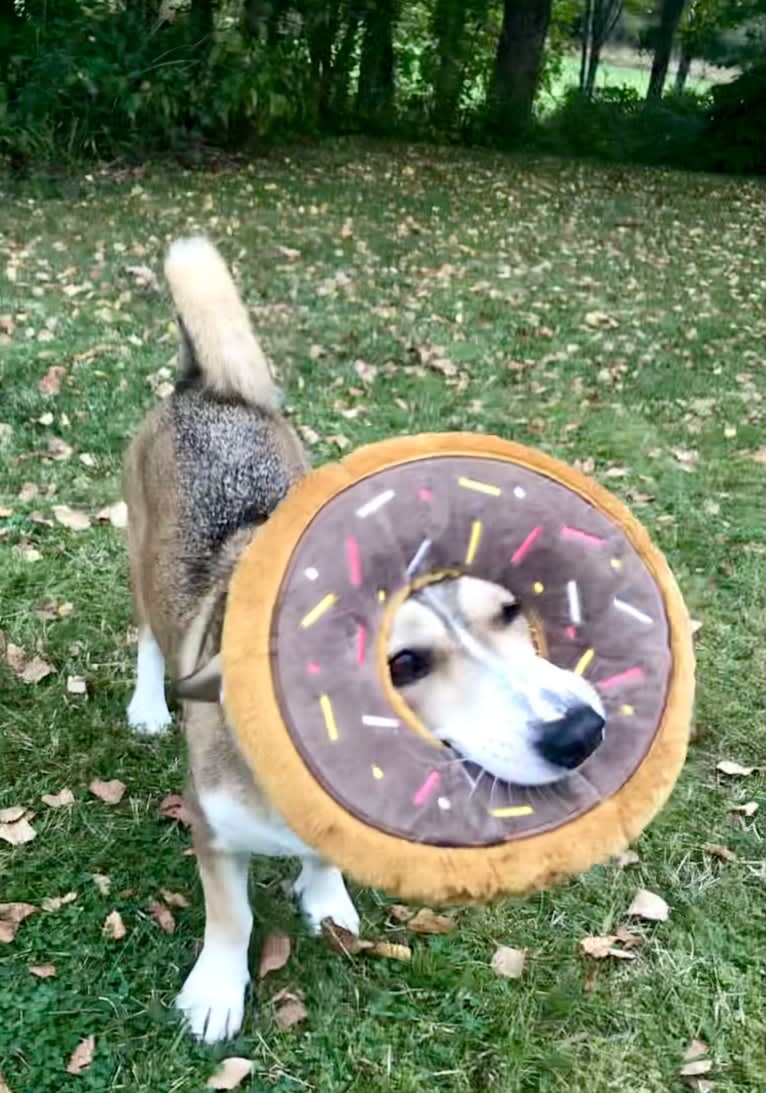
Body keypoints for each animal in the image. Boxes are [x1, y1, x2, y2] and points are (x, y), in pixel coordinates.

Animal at [125, 237, 603, 1040]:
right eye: (403, 661)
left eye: (511, 609)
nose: (582, 731)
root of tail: (208, 386)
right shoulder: (212, 828)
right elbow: (232, 917)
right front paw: (216, 991)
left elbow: (322, 864)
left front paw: (325, 901)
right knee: (150, 639)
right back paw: (146, 706)